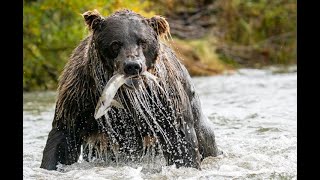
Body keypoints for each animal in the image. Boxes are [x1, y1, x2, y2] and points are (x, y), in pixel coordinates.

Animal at [40, 9, 220, 171]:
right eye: (115, 43)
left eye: (143, 42)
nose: (133, 66)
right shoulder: (80, 96)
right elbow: (63, 137)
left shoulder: (165, 99)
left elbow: (180, 139)